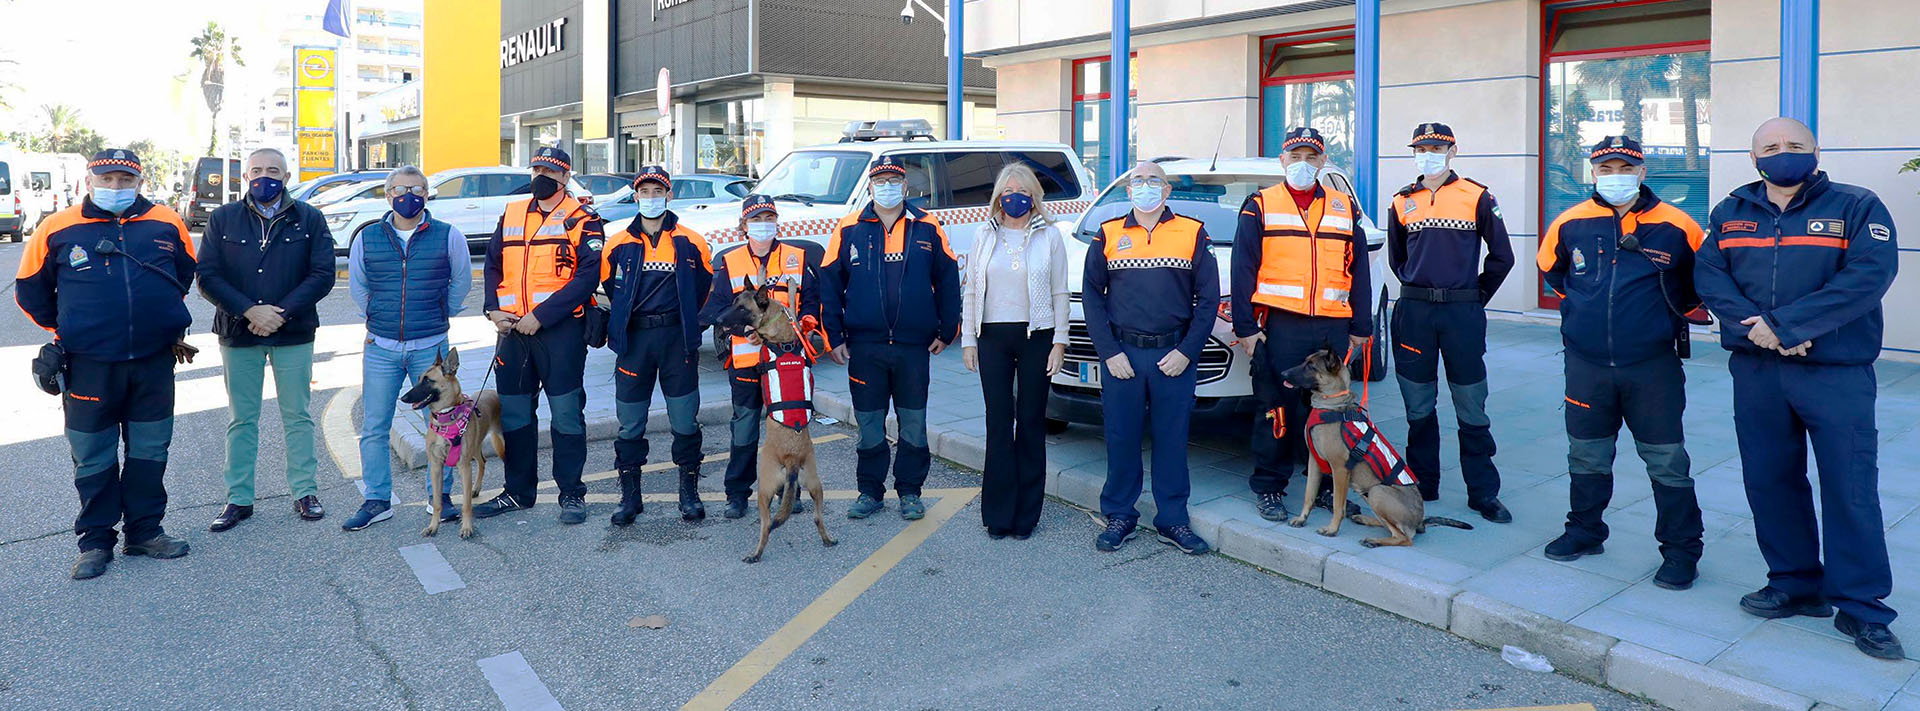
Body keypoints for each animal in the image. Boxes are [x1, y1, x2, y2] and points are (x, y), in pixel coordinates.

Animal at [399, 349, 506, 538]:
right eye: (418, 378)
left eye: (428, 380)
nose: (403, 397)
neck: (446, 419)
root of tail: (493, 391)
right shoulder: (436, 466)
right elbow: (437, 503)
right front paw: (433, 527)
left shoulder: (464, 467)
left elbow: (466, 504)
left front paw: (467, 528)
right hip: (475, 447)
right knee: (482, 461)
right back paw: (476, 488)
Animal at [718, 286, 837, 564]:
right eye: (733, 302)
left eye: (742, 308)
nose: (717, 320)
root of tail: (792, 457)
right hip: (816, 485)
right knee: (818, 517)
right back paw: (827, 539)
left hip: (763, 490)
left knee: (766, 525)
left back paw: (755, 553)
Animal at [1282, 347, 1474, 545]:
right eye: (1305, 362)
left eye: (1311, 366)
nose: (1283, 374)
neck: (1331, 404)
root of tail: (1420, 521)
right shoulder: (1314, 462)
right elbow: (1309, 494)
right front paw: (1302, 519)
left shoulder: (1340, 469)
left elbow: (1337, 505)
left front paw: (1332, 529)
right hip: (1368, 493)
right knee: (1388, 526)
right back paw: (1365, 520)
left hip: (1377, 492)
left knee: (1404, 537)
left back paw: (1374, 540)